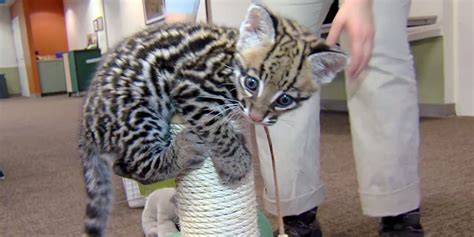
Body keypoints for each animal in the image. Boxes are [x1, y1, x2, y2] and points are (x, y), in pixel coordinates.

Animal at [78, 4, 344, 237]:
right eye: (251, 83)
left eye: (285, 99)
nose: (255, 117)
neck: (230, 58)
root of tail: (86, 128)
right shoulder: (190, 87)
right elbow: (216, 127)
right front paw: (235, 164)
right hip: (140, 110)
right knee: (134, 164)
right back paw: (183, 151)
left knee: (121, 165)